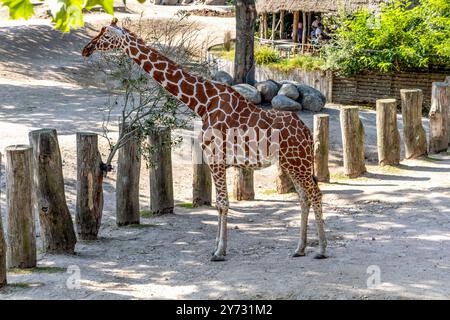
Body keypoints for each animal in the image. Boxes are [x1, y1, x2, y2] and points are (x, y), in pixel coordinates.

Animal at [81, 19, 326, 260]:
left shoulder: (216, 159)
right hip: (290, 163)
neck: (202, 103)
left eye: (105, 35)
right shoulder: (215, 161)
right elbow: (219, 204)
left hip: (299, 162)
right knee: (304, 197)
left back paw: (321, 250)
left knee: (315, 194)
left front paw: (219, 252)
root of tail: (307, 131)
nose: (86, 49)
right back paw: (299, 248)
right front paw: (217, 248)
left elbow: (223, 204)